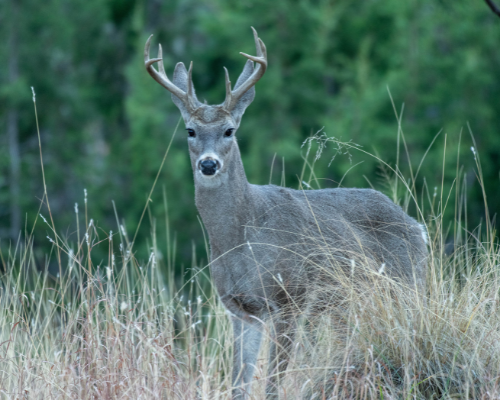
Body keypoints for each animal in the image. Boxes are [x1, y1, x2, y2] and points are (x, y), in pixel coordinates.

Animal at [144, 26, 426, 398]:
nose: (208, 164)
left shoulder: (290, 298)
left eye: (230, 130)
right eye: (190, 130)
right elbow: (239, 382)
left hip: (407, 284)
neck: (242, 237)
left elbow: (274, 383)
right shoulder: (240, 309)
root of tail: (417, 226)